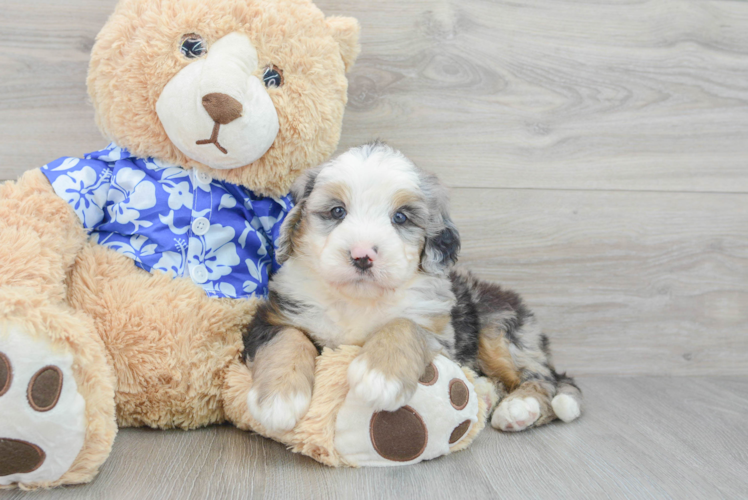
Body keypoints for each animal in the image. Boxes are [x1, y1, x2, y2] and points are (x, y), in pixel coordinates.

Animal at [243, 143, 580, 432]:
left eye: (401, 217)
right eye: (337, 211)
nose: (362, 256)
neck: (359, 301)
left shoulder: (440, 333)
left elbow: (404, 325)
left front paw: (379, 377)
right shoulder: (274, 317)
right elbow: (288, 339)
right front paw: (278, 400)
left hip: (500, 329)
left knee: (546, 378)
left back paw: (520, 407)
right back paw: (485, 392)